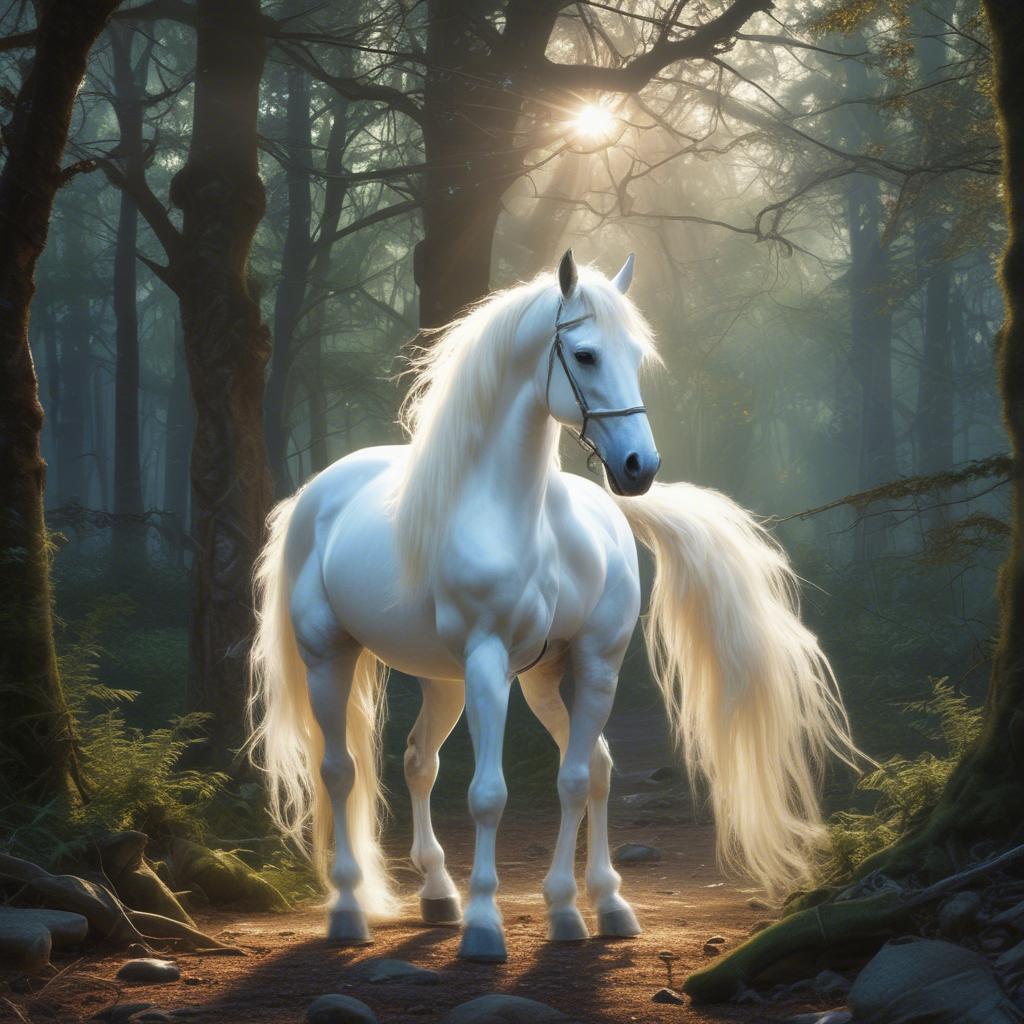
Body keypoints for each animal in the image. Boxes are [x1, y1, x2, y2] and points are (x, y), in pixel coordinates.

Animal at [248, 249, 858, 963]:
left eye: (636, 355)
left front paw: (582, 908)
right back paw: (349, 907)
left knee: (425, 762)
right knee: (339, 771)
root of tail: (314, 496)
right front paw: (488, 926)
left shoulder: (591, 664)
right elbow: (488, 795)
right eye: (587, 355)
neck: (524, 517)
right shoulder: (488, 663)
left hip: (464, 679)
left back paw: (442, 894)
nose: (638, 467)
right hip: (331, 656)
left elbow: (582, 775)